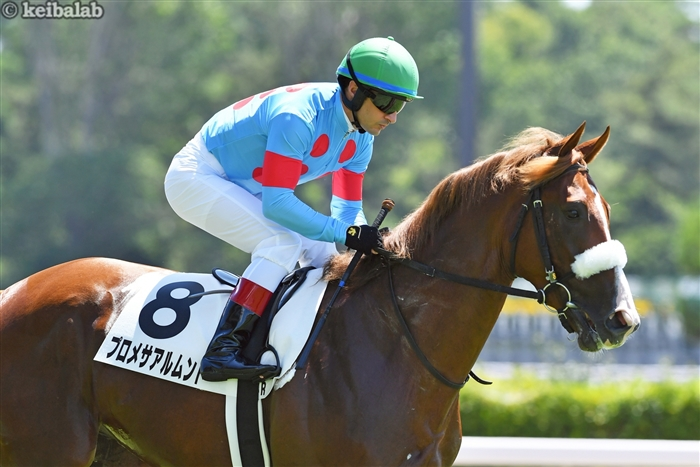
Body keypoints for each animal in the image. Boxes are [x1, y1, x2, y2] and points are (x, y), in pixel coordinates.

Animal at [0, 122, 640, 466]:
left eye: (608, 208)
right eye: (573, 211)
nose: (623, 319)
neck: (399, 343)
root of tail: (16, 292)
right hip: (47, 448)